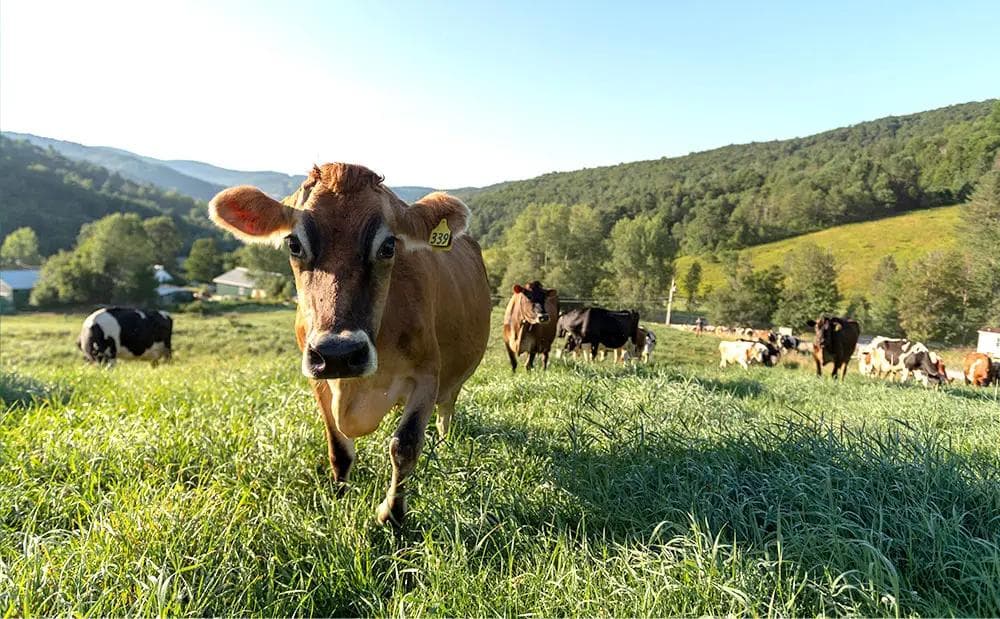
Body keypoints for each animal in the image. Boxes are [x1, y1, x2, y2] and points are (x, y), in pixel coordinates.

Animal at [208, 163, 491, 526]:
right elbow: (338, 449)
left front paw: (392, 514)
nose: (338, 354)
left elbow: (405, 446)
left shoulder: (427, 374)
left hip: (454, 380)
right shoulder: (319, 379)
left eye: (388, 246)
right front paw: (338, 500)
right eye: (294, 244)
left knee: (446, 413)